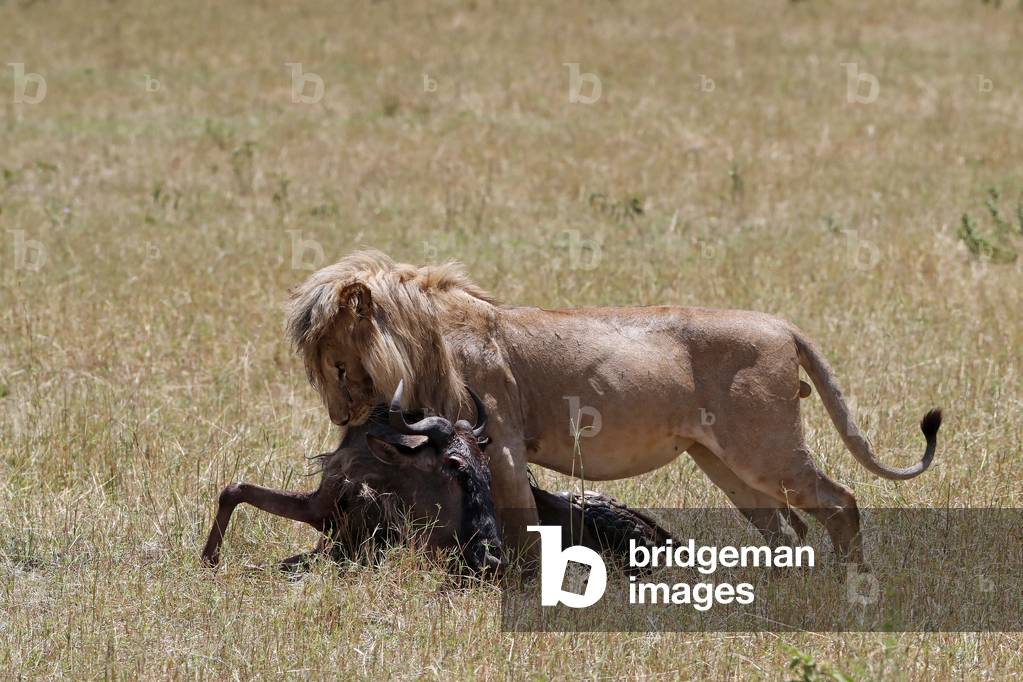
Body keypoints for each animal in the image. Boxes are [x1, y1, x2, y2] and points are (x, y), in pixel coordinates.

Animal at [284, 250, 941, 564]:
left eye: (338, 367)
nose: (341, 419)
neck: (428, 338)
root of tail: (782, 326)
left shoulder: (503, 441)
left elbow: (522, 521)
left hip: (766, 450)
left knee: (840, 503)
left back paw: (849, 584)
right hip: (724, 464)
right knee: (786, 527)